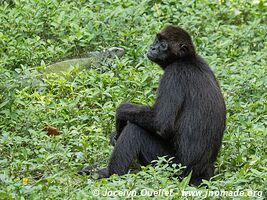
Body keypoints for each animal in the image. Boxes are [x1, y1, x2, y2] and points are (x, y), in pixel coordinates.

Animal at [85, 25, 227, 186]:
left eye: (163, 45)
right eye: (157, 40)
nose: (152, 47)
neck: (187, 60)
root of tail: (203, 172)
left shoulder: (173, 75)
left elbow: (160, 122)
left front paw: (120, 113)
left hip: (173, 166)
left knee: (135, 130)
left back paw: (109, 174)